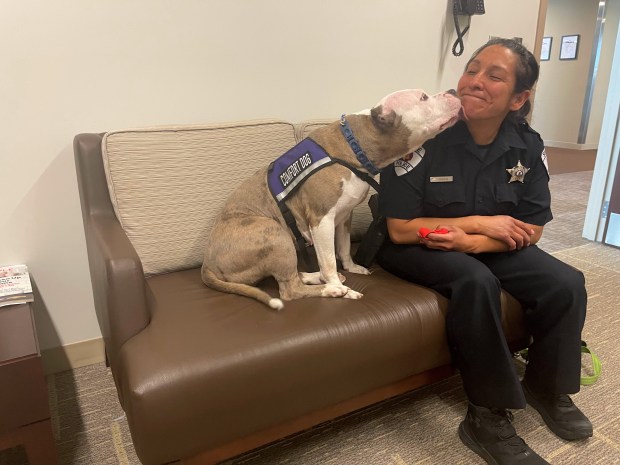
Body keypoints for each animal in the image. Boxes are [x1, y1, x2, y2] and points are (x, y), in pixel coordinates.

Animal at [201, 89, 462, 310]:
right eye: (423, 97)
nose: (452, 90)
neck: (356, 145)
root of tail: (207, 265)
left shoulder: (344, 216)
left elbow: (344, 249)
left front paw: (352, 268)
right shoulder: (321, 221)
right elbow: (329, 261)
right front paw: (338, 285)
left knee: (296, 276)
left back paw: (314, 277)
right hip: (274, 233)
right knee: (290, 290)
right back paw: (332, 289)